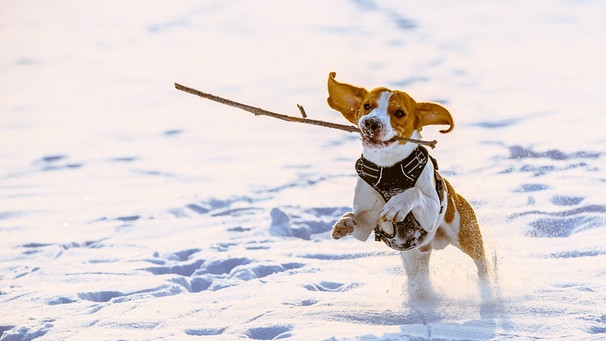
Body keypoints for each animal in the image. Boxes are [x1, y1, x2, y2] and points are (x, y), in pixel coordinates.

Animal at [328, 71, 490, 298]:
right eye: (367, 106)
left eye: (399, 112)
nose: (371, 123)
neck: (389, 170)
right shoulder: (367, 221)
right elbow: (359, 221)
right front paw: (345, 223)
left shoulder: (430, 214)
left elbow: (414, 192)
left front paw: (396, 205)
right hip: (414, 257)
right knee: (419, 276)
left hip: (465, 234)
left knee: (482, 263)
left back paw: (489, 291)